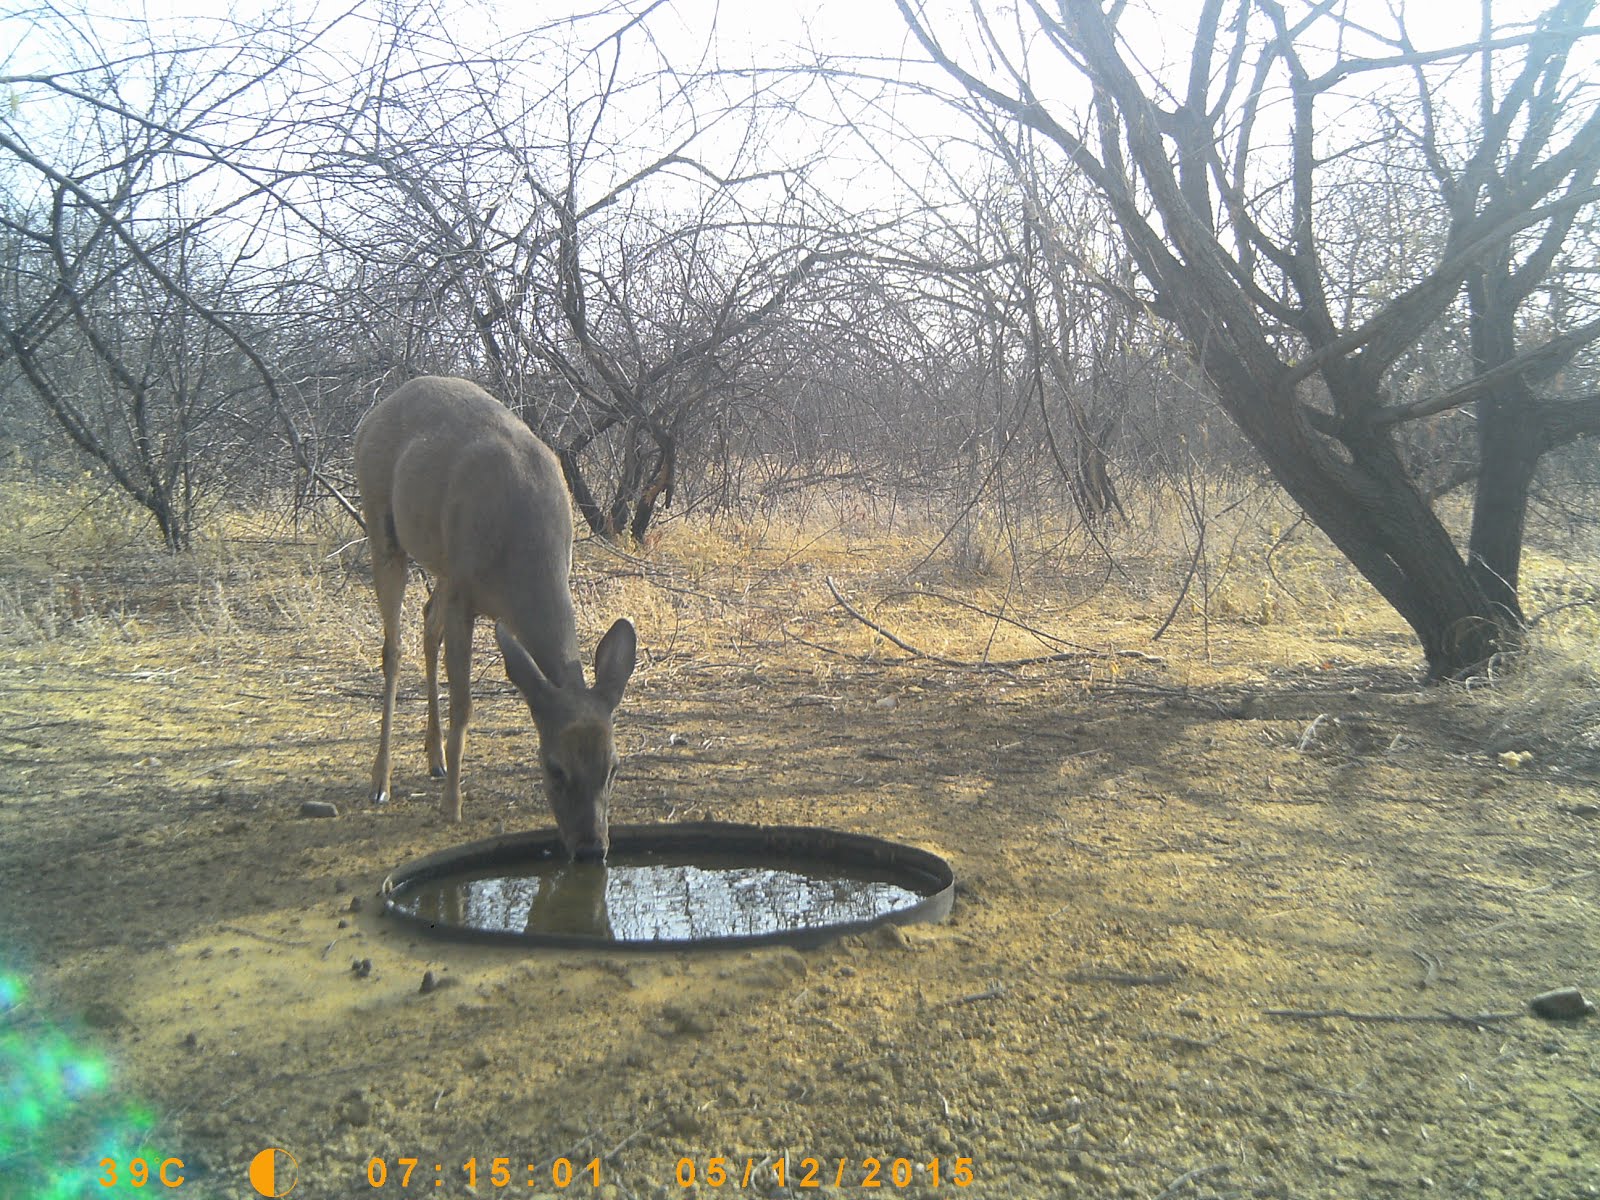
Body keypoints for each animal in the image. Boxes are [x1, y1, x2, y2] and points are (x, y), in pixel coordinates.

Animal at [356, 380, 636, 857]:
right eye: (554, 768)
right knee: (393, 647)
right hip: (383, 528)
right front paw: (452, 807)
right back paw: (381, 782)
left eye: (613, 767)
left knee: (427, 624)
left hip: (440, 565)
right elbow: (464, 705)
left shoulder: (461, 583)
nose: (591, 847)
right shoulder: (464, 594)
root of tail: (374, 412)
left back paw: (435, 759)